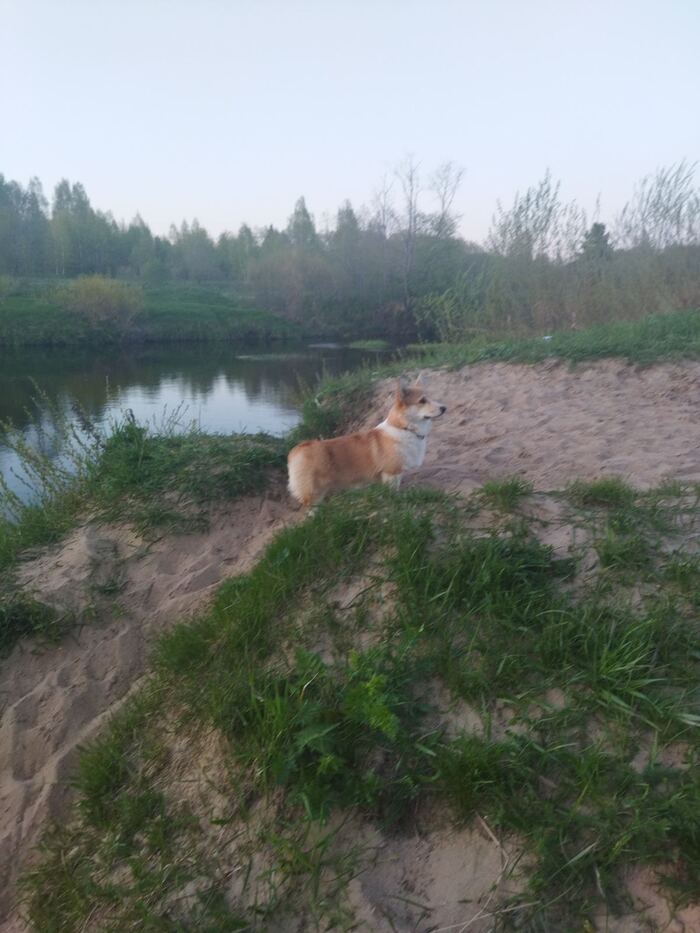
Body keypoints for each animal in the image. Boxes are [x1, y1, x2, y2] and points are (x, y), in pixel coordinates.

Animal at [287, 374, 446, 507]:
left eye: (431, 398)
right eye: (422, 401)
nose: (444, 408)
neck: (404, 428)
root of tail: (297, 450)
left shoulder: (396, 475)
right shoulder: (391, 473)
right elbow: (392, 493)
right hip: (314, 493)